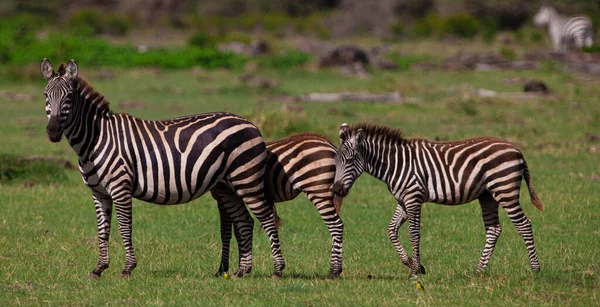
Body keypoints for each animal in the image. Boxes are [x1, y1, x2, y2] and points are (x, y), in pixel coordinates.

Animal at [40, 58, 286, 280]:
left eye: (69, 98)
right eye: (45, 96)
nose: (52, 131)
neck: (96, 140)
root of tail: (251, 124)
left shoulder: (120, 188)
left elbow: (124, 227)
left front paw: (127, 269)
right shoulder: (98, 193)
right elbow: (103, 231)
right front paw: (99, 268)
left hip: (247, 179)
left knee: (266, 219)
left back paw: (277, 270)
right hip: (227, 186)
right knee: (245, 221)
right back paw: (242, 271)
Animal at [212, 133, 346, 280]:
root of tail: (329, 144)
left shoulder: (222, 196)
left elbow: (225, 232)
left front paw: (223, 269)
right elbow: (238, 231)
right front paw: (238, 266)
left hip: (318, 190)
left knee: (336, 225)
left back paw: (334, 271)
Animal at [330, 122, 548, 280]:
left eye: (350, 160)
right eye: (336, 162)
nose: (336, 190)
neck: (395, 164)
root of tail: (516, 149)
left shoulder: (414, 197)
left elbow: (414, 234)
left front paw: (415, 272)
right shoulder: (403, 200)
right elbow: (391, 231)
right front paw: (414, 265)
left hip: (505, 189)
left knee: (524, 224)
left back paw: (535, 270)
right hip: (487, 195)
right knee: (494, 229)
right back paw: (478, 271)